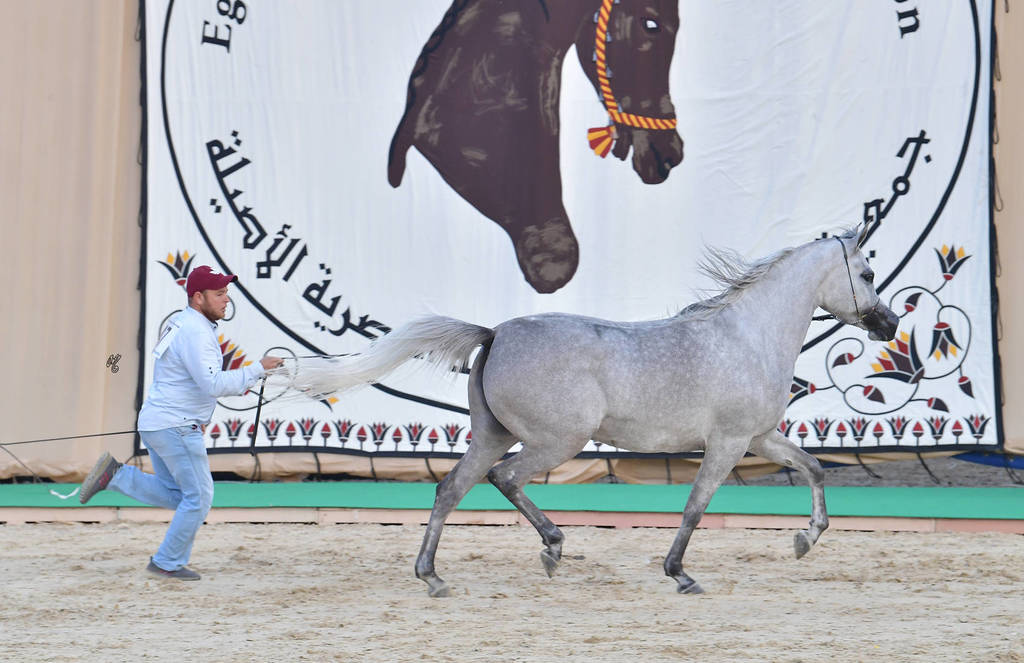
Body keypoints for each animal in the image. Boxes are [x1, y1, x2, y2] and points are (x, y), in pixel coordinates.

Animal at [291, 226, 899, 596]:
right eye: (868, 273)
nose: (890, 324)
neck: (748, 336)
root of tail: (496, 332)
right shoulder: (727, 443)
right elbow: (695, 508)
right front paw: (680, 575)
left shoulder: (759, 437)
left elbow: (813, 467)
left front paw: (805, 540)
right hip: (556, 441)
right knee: (503, 478)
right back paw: (552, 548)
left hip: (493, 435)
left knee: (451, 489)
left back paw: (434, 576)